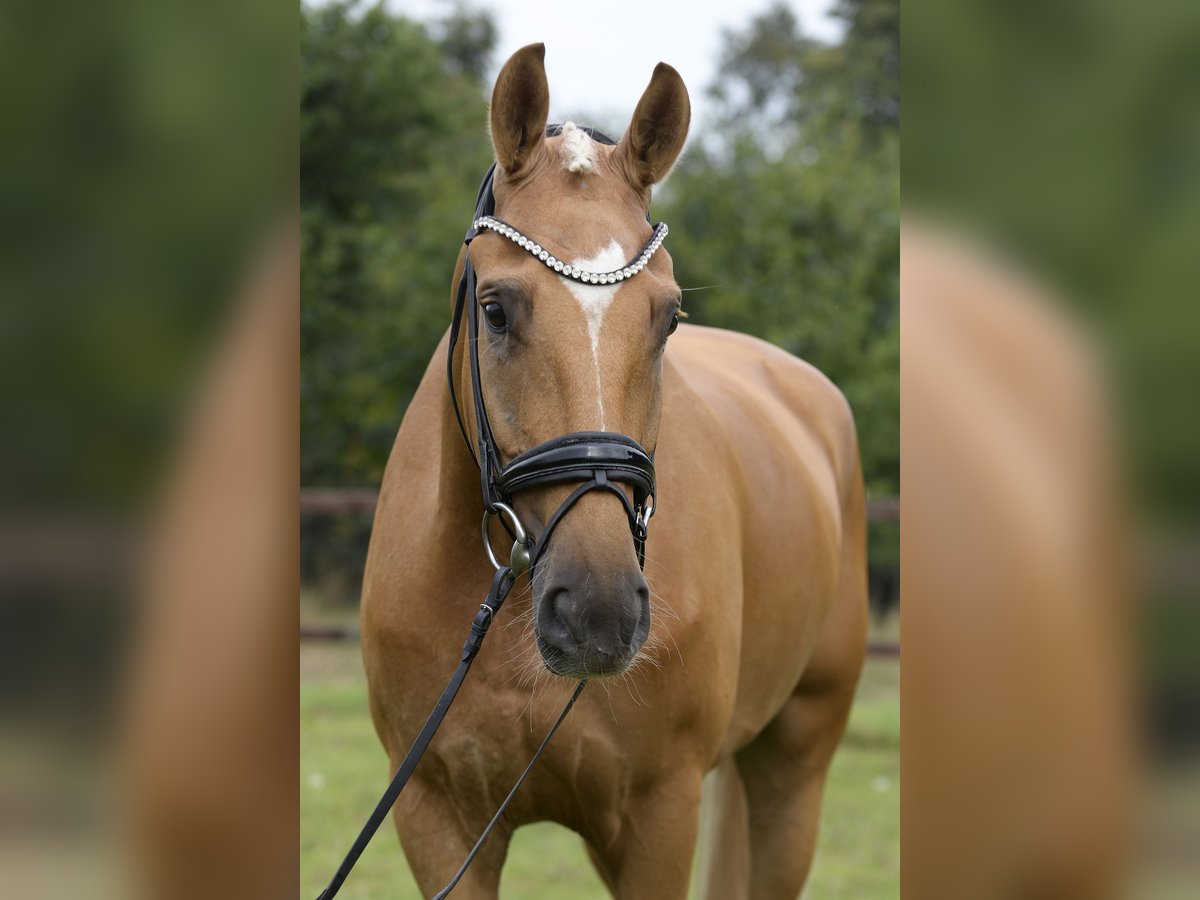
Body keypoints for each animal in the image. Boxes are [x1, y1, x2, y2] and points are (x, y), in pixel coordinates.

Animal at [360, 45, 868, 897]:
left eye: (669, 318)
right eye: (496, 310)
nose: (597, 613)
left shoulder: (659, 818)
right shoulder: (438, 818)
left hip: (793, 769)